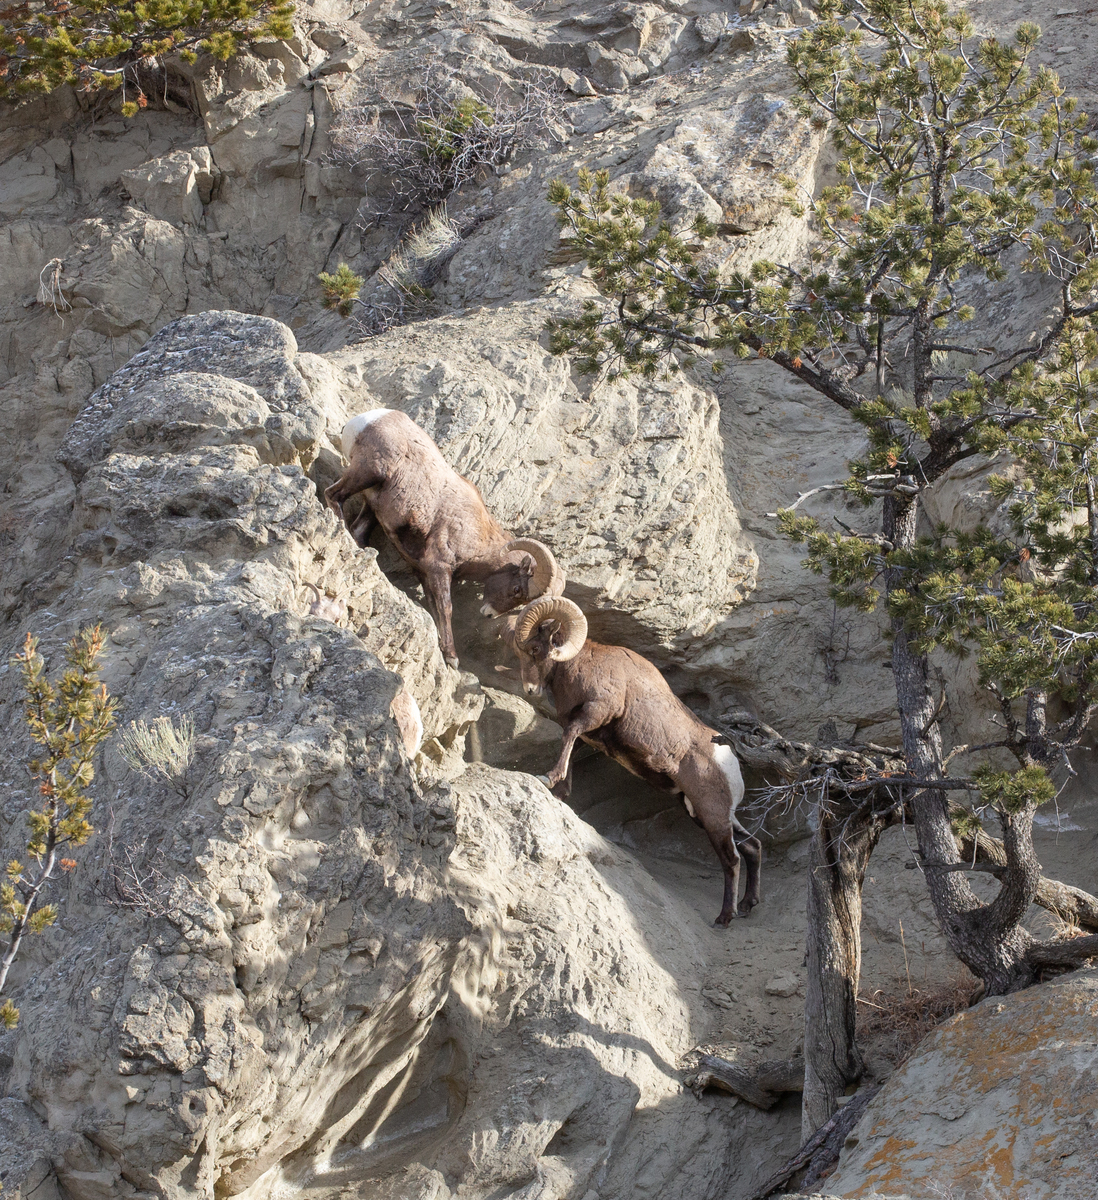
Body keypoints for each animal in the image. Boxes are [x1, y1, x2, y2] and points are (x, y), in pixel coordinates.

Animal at [325, 409, 564, 667]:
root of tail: (370, 418)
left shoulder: (424, 571)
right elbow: (446, 609)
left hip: (372, 503)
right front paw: (451, 657)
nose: (489, 613)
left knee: (358, 530)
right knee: (333, 495)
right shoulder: (439, 569)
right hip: (368, 473)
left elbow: (434, 609)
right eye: (517, 589)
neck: (476, 536)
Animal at [500, 595, 761, 926]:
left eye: (535, 649)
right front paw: (560, 792)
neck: (583, 666)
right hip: (703, 813)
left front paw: (548, 778)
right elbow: (570, 745)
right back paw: (749, 904)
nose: (530, 690)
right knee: (752, 846)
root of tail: (728, 759)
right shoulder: (587, 733)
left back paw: (725, 917)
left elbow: (568, 736)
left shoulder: (596, 712)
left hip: (712, 817)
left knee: (732, 859)